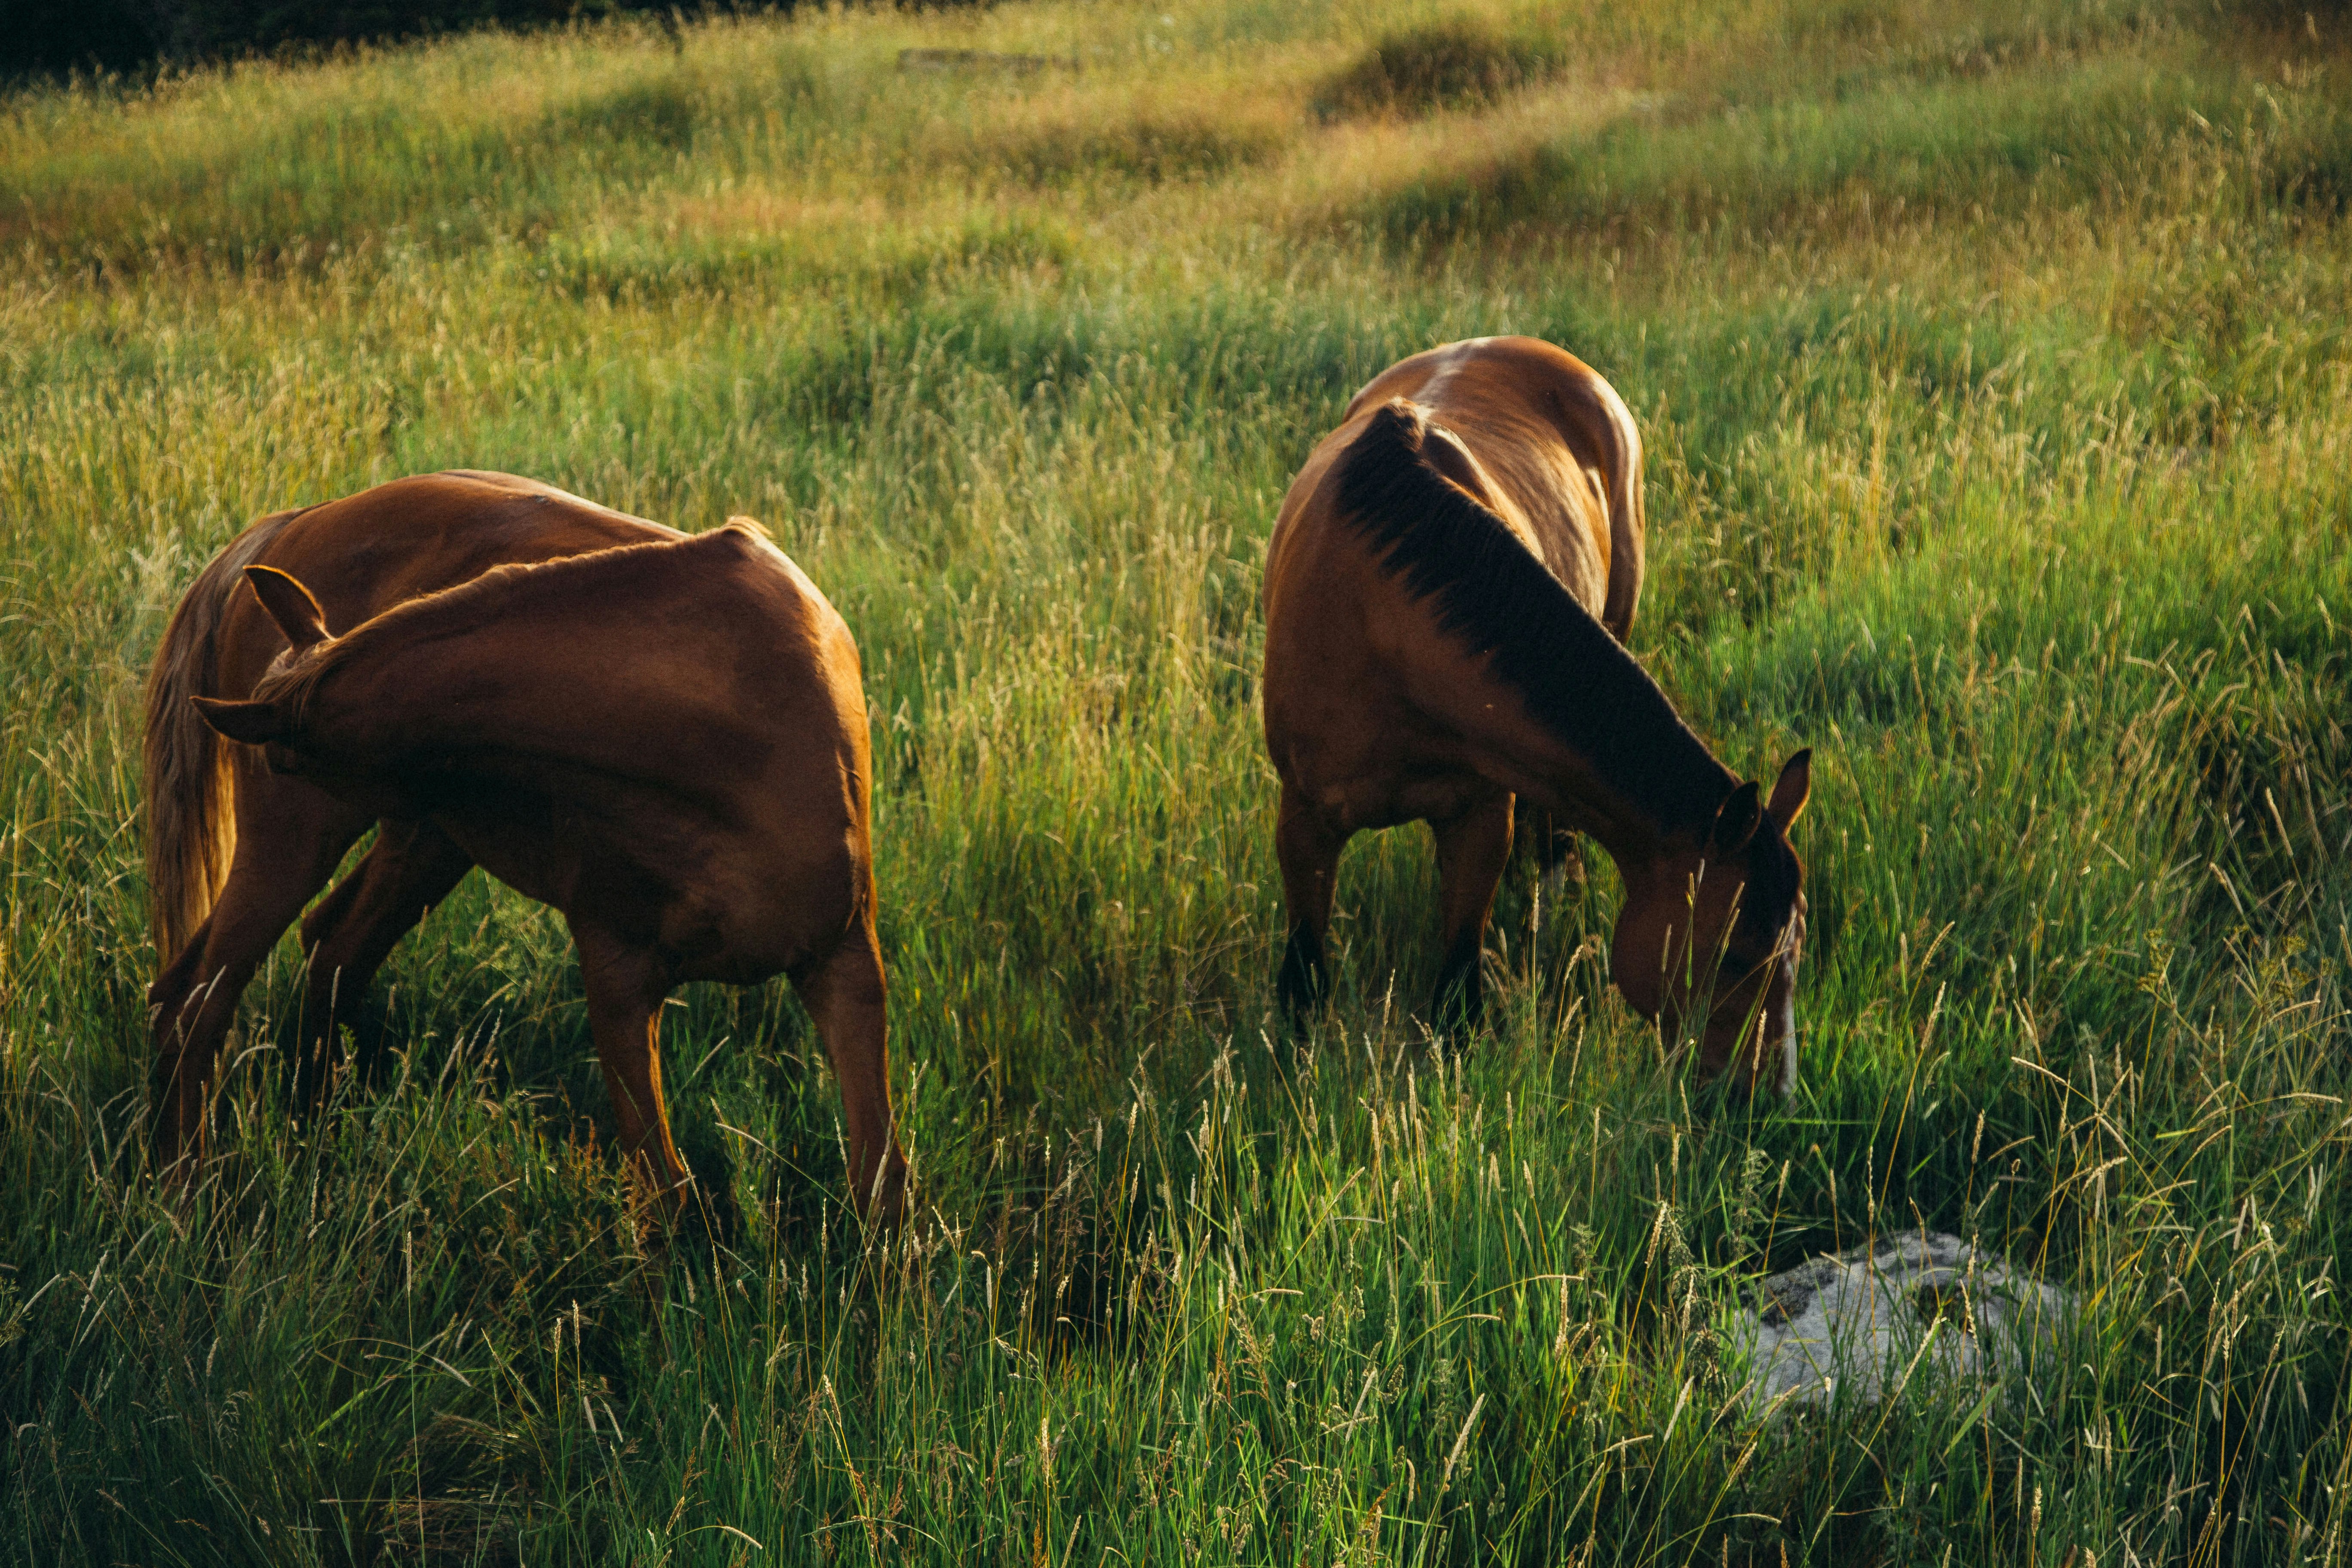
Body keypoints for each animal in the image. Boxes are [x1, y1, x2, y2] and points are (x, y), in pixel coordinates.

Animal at [145, 471, 907, 1219]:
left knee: (323, 952)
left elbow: (881, 1183)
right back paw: (184, 1187)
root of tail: (300, 520)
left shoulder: (843, 961)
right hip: (307, 842)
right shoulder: (618, 978)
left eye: (285, 760)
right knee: (198, 999)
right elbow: (667, 1196)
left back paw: (307, 1134)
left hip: (421, 844)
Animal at [1261, 337, 1811, 1092]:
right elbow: (1305, 979)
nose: (1766, 1095)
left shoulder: (1480, 816)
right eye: (1734, 955)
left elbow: (1458, 988)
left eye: (1796, 947)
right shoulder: (1305, 821)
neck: (1379, 618)